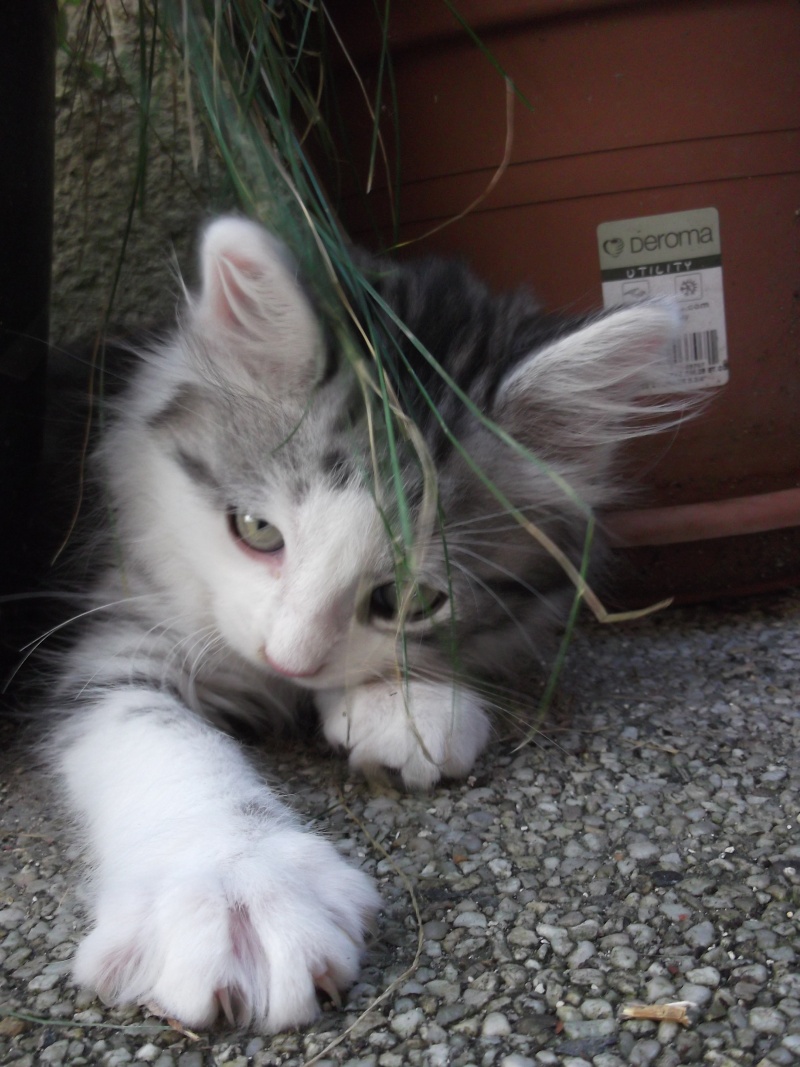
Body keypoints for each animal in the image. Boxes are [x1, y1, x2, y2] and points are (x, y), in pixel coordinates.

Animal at [50, 218, 686, 1032]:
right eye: (256, 530)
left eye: (411, 600)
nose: (288, 659)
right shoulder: (123, 627)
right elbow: (161, 738)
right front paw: (236, 885)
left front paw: (408, 706)